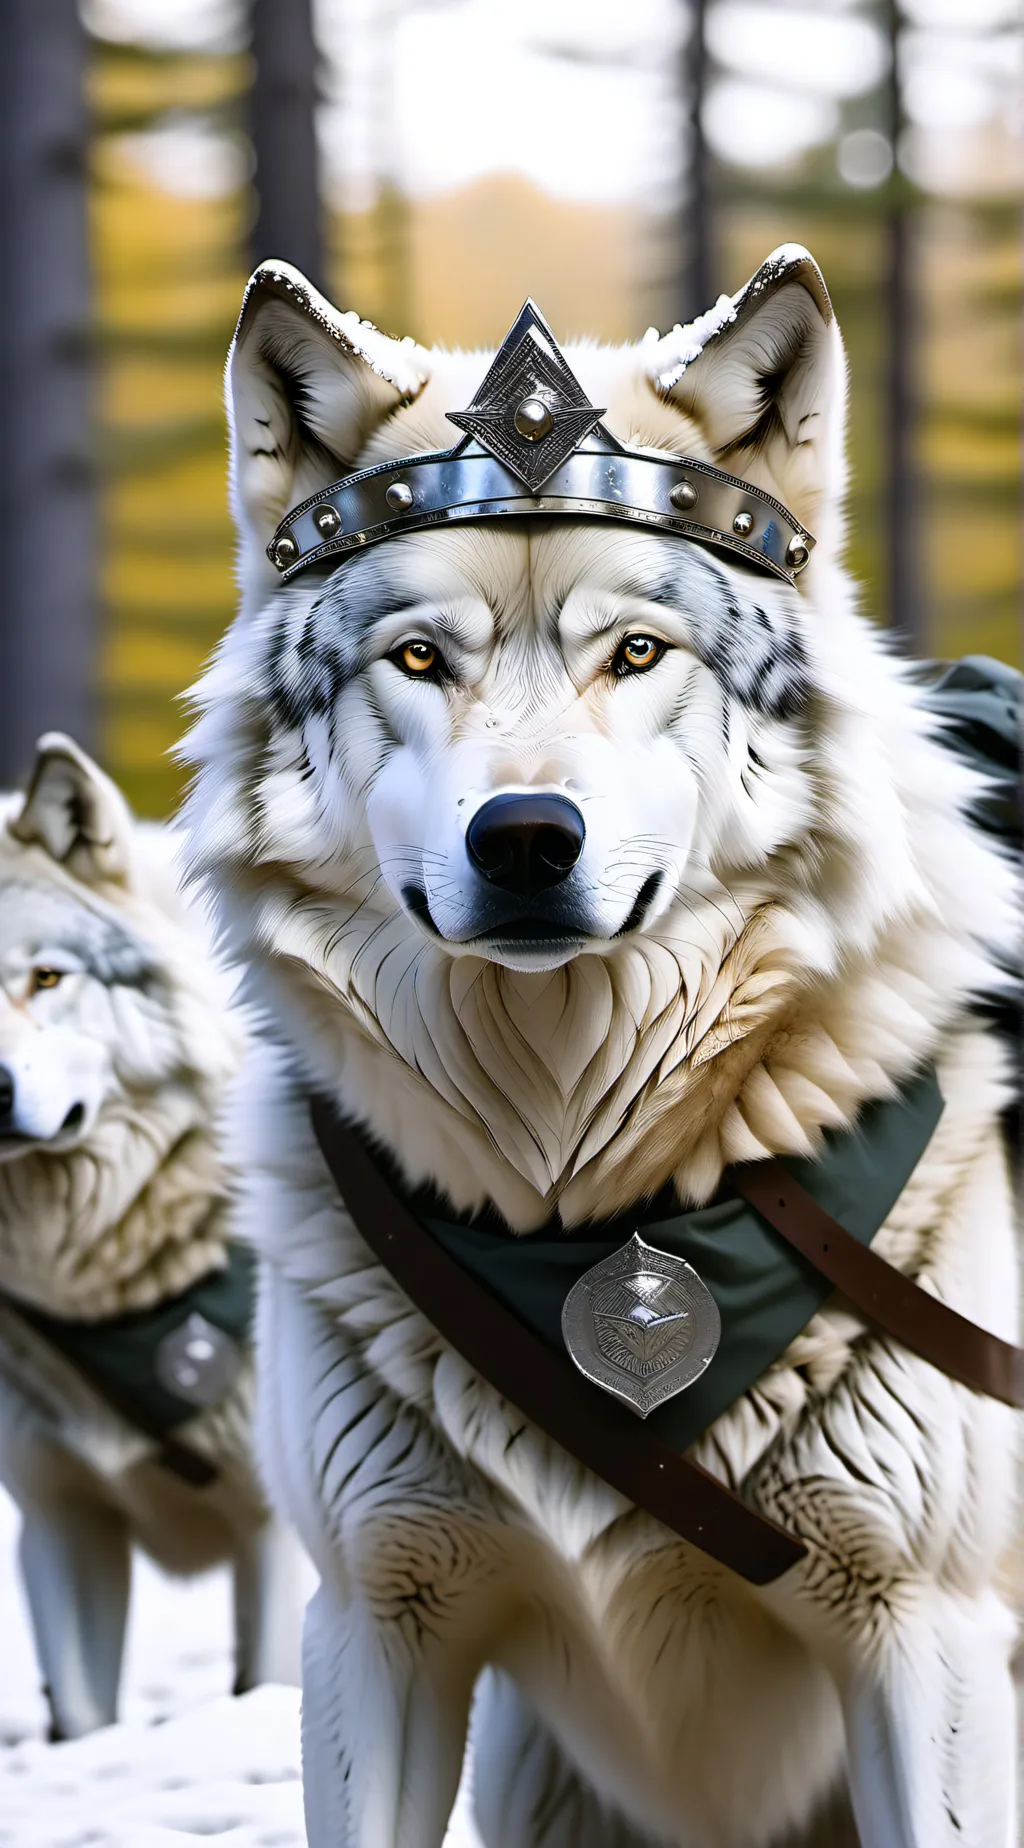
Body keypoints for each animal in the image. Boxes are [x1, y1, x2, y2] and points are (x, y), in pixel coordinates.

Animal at [181, 246, 1020, 1847]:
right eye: (419, 659)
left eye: (636, 652)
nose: (523, 839)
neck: (579, 1190)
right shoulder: (375, 1626)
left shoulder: (926, 1638)